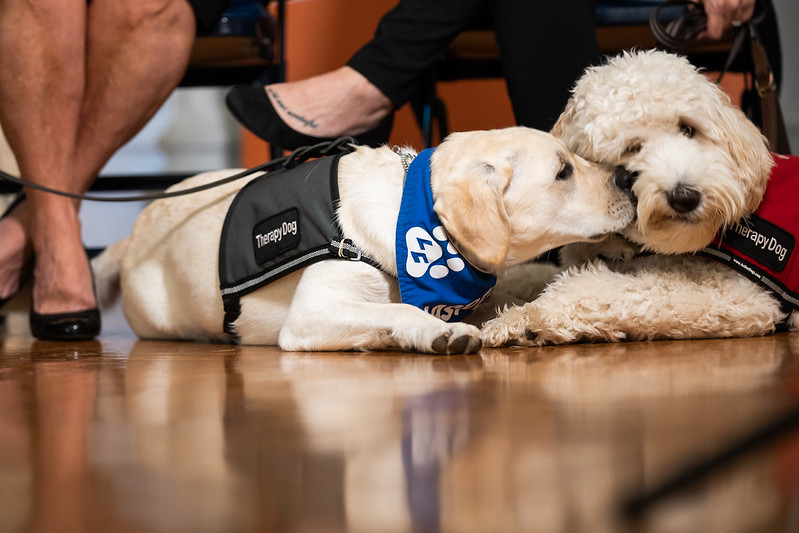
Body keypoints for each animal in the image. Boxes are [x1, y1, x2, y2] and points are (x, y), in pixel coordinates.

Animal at [94, 127, 636, 354]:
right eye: (563, 171)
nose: (628, 178)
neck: (410, 216)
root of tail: (134, 233)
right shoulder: (311, 315)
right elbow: (399, 311)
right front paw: (437, 330)